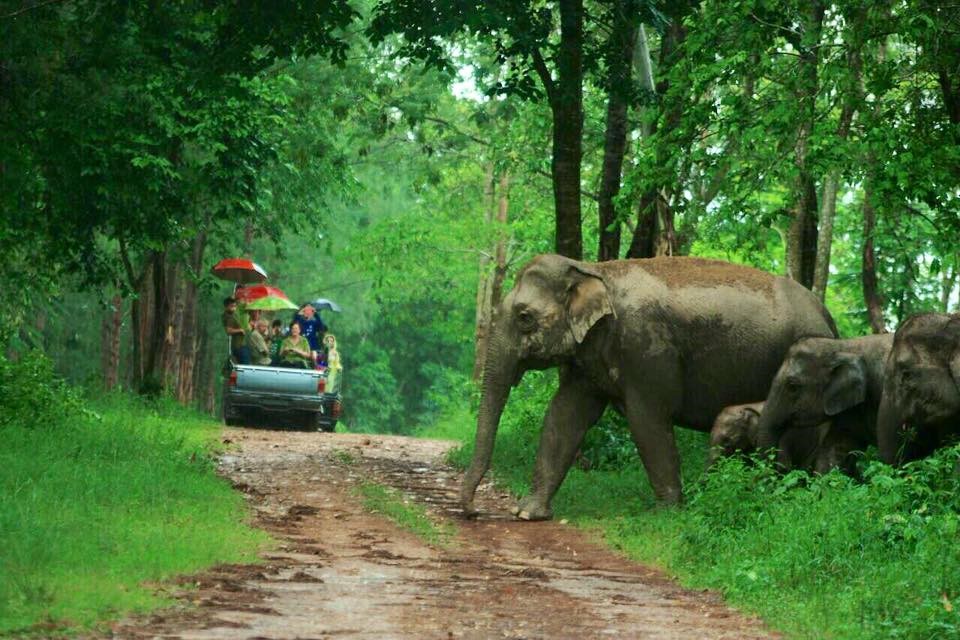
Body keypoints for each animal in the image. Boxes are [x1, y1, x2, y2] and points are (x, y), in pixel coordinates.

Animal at [462, 251, 836, 520]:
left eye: (524, 317)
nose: (474, 512)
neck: (592, 269)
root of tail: (827, 316)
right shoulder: (588, 356)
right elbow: (564, 415)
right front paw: (528, 513)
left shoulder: (646, 347)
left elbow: (647, 419)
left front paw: (666, 514)